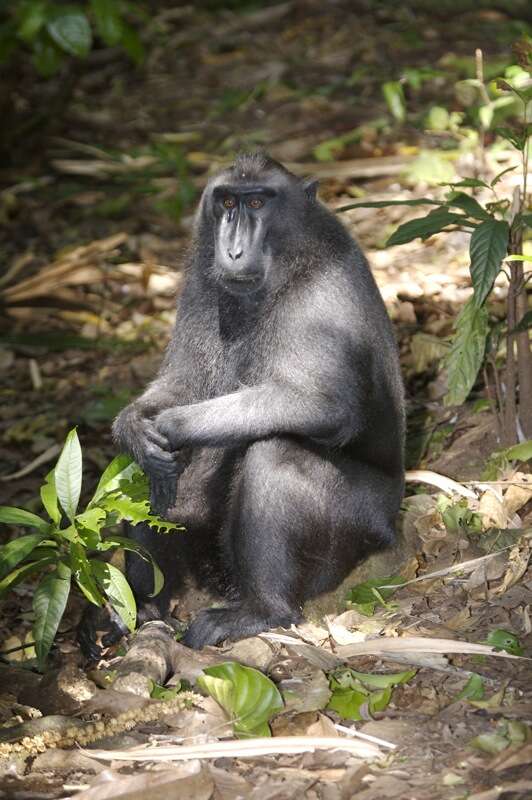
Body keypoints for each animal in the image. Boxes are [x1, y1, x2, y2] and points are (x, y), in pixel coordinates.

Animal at [78, 152, 404, 656]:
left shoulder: (324, 293)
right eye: (228, 202)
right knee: (148, 479)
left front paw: (171, 427)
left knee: (274, 453)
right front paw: (133, 427)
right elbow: (184, 382)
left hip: (365, 525)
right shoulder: (199, 284)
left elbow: (324, 406)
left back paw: (264, 610)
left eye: (257, 202)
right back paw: (141, 608)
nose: (231, 250)